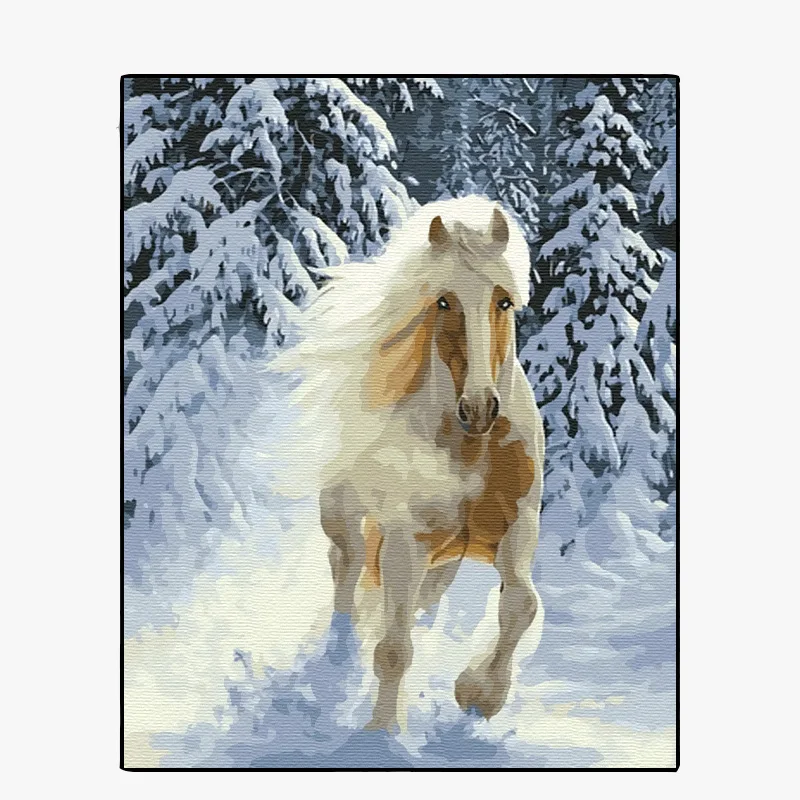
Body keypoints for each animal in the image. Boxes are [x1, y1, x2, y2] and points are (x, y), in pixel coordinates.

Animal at [278, 196, 545, 731]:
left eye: (503, 301)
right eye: (443, 301)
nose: (479, 408)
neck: (472, 450)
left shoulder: (518, 526)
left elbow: (522, 605)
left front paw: (479, 695)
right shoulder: (407, 540)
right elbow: (394, 651)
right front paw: (382, 733)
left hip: (443, 561)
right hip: (346, 516)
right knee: (347, 567)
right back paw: (339, 651)